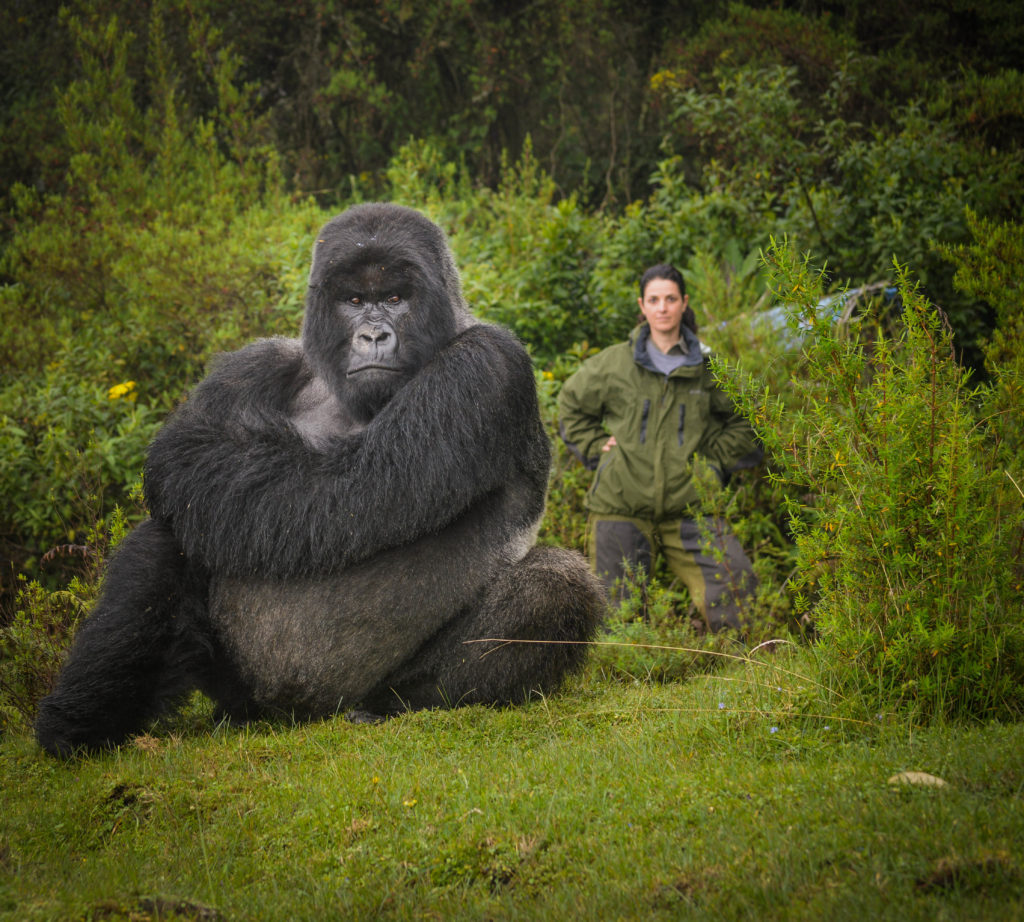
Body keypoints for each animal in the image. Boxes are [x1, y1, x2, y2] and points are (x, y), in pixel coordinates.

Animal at [36, 201, 602, 758]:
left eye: (395, 298)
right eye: (353, 300)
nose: (373, 335)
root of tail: (290, 715)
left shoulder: (487, 364)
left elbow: (354, 487)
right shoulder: (262, 358)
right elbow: (187, 449)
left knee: (557, 584)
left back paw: (394, 703)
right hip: (238, 686)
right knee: (172, 532)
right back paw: (84, 722)